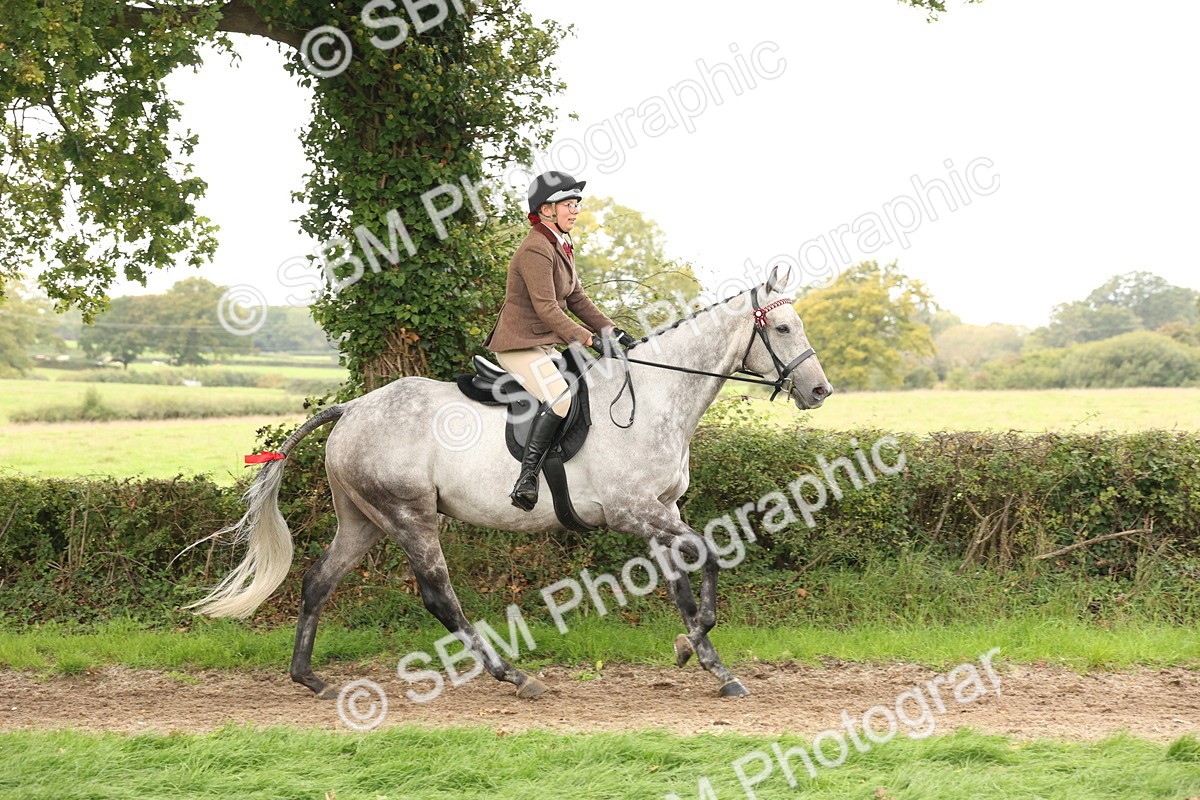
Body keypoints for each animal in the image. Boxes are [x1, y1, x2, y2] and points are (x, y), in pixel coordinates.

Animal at [188, 266, 833, 700]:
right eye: (782, 327)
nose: (820, 390)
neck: (654, 398)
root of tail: (350, 410)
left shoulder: (661, 512)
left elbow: (683, 584)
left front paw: (710, 665)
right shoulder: (633, 511)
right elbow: (711, 557)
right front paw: (688, 649)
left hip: (364, 520)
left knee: (319, 580)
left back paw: (310, 678)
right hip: (409, 515)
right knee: (438, 595)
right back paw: (513, 675)